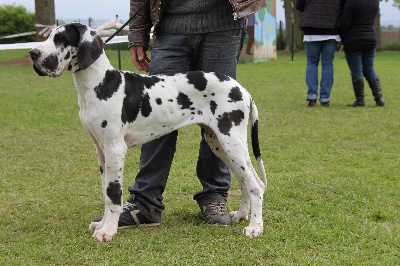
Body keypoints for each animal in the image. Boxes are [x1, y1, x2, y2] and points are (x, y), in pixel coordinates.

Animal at [29, 22, 268, 242]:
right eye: (48, 36)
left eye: (61, 39)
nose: (33, 53)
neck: (99, 84)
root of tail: (242, 89)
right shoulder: (101, 151)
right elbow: (106, 193)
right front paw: (103, 224)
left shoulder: (115, 149)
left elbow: (113, 194)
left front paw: (108, 231)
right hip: (219, 144)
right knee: (247, 181)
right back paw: (241, 214)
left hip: (231, 141)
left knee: (255, 185)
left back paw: (255, 227)